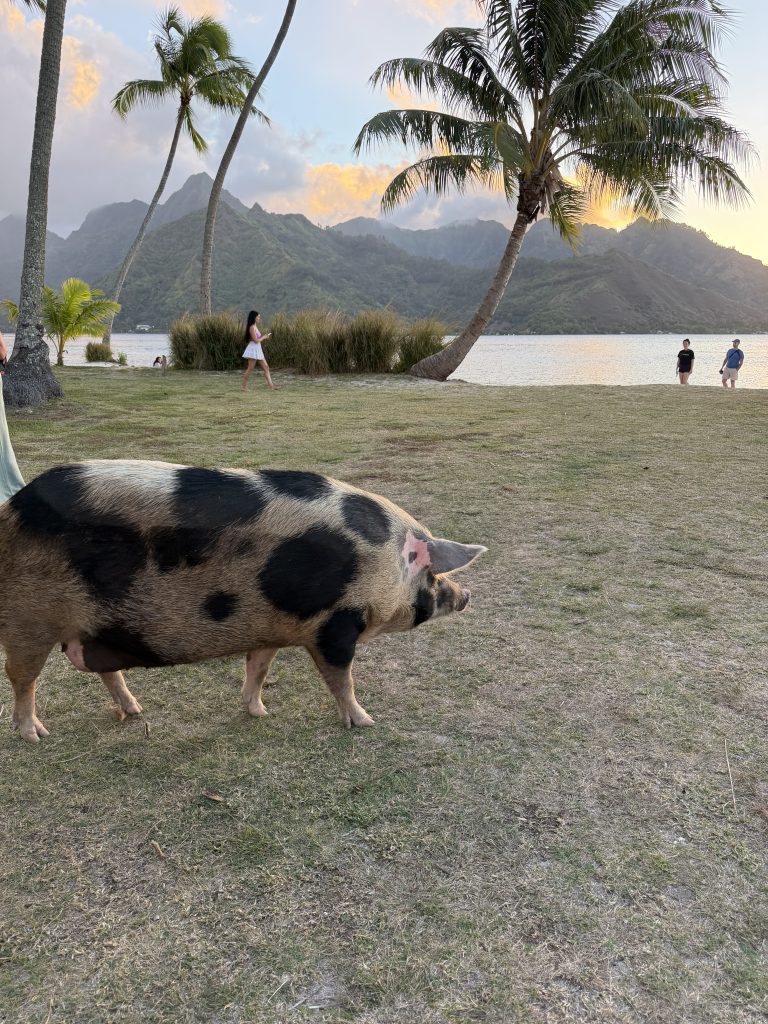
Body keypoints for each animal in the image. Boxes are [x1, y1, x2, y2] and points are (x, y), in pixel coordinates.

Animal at [0, 460, 486, 744]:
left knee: (104, 670)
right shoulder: (335, 627)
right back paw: (34, 736)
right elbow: (341, 679)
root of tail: (11, 510)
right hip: (28, 620)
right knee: (22, 681)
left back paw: (135, 711)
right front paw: (366, 723)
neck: (382, 561)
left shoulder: (269, 628)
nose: (466, 595)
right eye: (434, 575)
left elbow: (259, 668)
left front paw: (259, 713)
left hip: (95, 627)